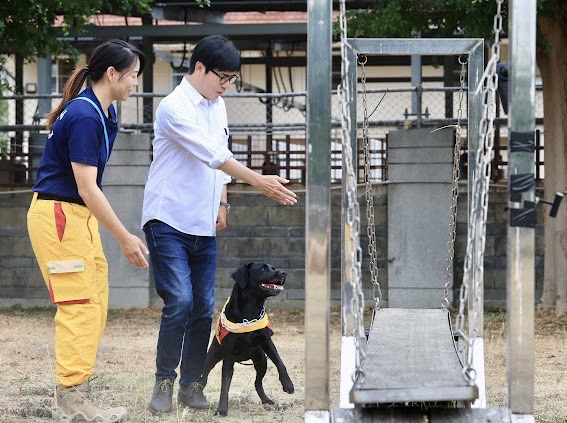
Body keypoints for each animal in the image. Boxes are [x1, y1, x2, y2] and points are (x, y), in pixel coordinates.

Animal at [199, 262, 296, 418]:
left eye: (273, 268)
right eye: (263, 268)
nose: (284, 273)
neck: (250, 312)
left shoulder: (267, 342)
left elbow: (280, 362)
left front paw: (287, 384)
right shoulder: (229, 357)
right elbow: (224, 386)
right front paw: (221, 409)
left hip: (261, 361)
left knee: (258, 383)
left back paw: (267, 400)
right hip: (211, 357)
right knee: (204, 377)